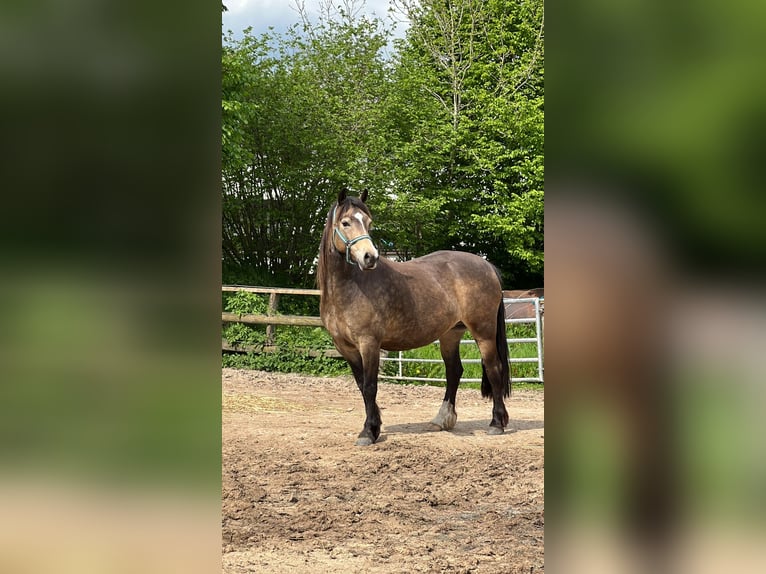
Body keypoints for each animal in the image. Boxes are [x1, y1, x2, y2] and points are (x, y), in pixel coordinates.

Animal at [316, 187, 512, 448]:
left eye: (368, 222)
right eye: (345, 222)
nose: (370, 257)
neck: (350, 287)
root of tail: (487, 265)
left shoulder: (369, 343)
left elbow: (370, 386)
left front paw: (368, 432)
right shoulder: (345, 347)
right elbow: (361, 385)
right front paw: (374, 426)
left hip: (484, 332)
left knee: (494, 369)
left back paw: (496, 423)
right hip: (451, 334)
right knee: (454, 371)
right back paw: (442, 419)